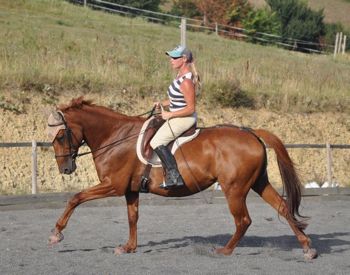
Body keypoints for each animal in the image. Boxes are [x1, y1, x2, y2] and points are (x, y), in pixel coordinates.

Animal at [46, 97, 318, 260]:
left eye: (60, 136)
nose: (65, 169)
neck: (116, 136)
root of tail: (251, 133)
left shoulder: (113, 185)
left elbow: (75, 198)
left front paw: (56, 233)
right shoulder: (130, 190)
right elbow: (133, 217)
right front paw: (129, 247)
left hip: (235, 189)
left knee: (243, 220)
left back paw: (224, 250)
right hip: (258, 183)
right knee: (283, 207)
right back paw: (307, 248)